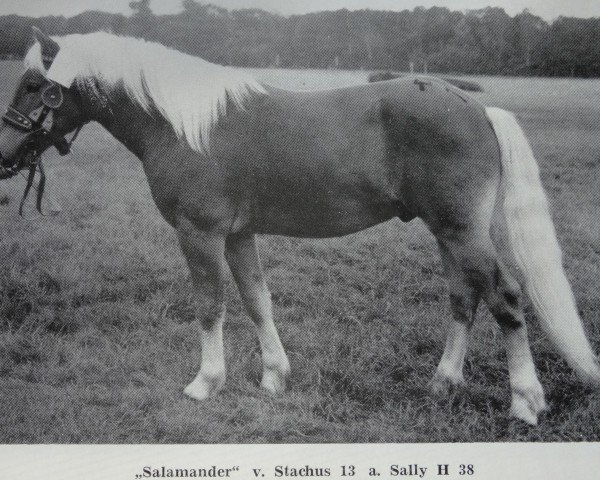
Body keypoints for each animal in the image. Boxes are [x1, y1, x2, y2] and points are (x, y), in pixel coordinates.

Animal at [0, 27, 596, 424]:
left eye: (34, 85)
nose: (5, 156)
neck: (182, 125)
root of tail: (478, 109)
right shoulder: (238, 234)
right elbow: (256, 299)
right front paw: (273, 376)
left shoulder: (200, 234)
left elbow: (210, 305)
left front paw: (205, 383)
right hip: (447, 233)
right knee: (463, 298)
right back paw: (443, 383)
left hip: (464, 234)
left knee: (506, 297)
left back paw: (525, 401)